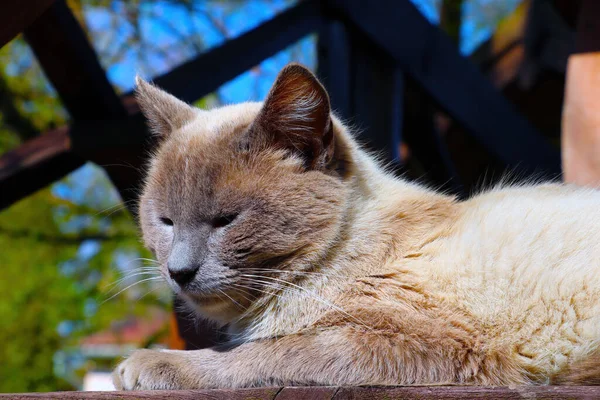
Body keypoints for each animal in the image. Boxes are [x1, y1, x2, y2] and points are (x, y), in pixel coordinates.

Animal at [112, 63, 600, 390]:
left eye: (225, 221)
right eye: (165, 221)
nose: (179, 271)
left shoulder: (408, 340)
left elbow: (260, 353)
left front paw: (147, 365)